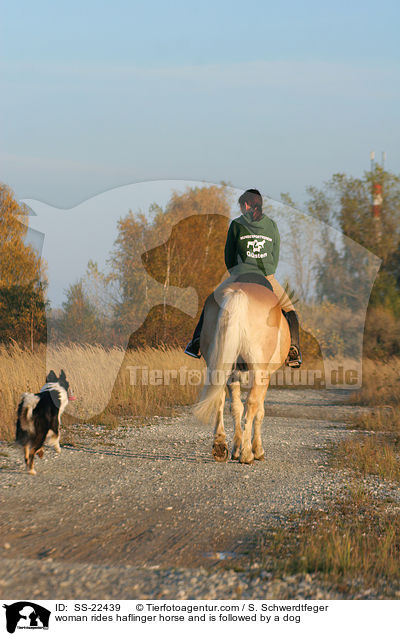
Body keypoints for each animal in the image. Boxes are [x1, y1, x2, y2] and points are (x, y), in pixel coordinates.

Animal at [192, 280, 290, 464]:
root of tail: (238, 293)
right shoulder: (265, 376)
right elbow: (259, 411)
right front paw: (257, 450)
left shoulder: (234, 375)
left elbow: (236, 407)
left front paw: (236, 448)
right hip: (259, 371)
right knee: (251, 405)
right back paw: (247, 454)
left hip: (220, 365)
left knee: (221, 398)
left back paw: (220, 446)